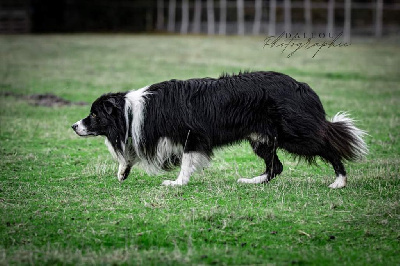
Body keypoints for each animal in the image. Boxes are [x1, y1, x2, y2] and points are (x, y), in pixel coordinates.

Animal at [72, 70, 368, 187]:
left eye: (93, 114)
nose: (74, 125)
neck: (131, 110)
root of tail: (303, 87)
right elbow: (131, 152)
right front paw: (123, 171)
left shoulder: (192, 135)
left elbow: (186, 161)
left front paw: (177, 183)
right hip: (261, 138)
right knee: (276, 166)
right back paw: (252, 181)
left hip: (294, 133)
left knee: (328, 146)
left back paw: (340, 181)